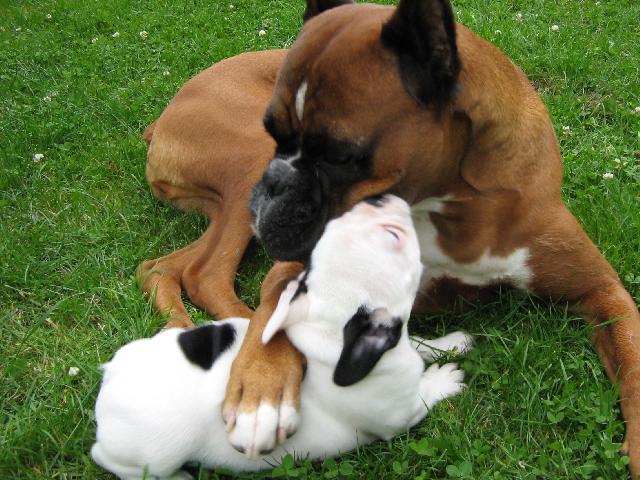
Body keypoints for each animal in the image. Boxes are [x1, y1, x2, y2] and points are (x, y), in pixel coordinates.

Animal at [93, 195, 471, 479]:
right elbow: (425, 394)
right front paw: (445, 378)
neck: (327, 338)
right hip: (149, 455)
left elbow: (419, 345)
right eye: (394, 237)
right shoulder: (401, 413)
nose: (377, 197)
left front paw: (449, 344)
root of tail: (111, 379)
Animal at [138, 0, 640, 474]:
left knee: (166, 267)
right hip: (245, 161)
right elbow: (275, 309)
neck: (453, 203)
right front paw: (261, 392)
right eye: (276, 133)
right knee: (204, 273)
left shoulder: (602, 291)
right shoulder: (297, 267)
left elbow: (631, 361)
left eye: (340, 156)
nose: (273, 185)